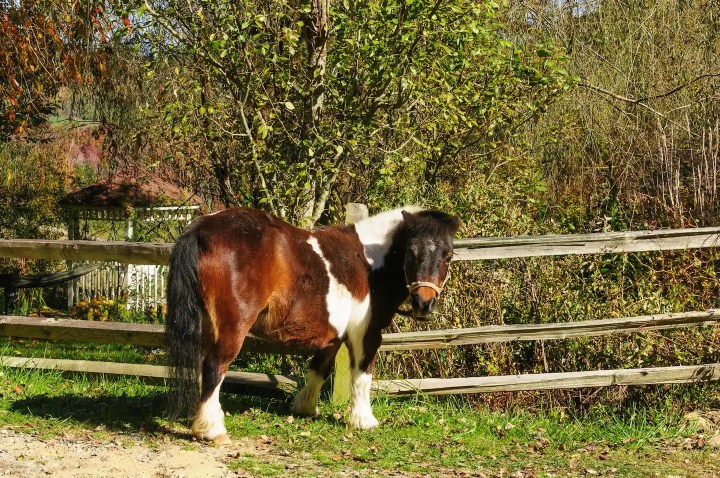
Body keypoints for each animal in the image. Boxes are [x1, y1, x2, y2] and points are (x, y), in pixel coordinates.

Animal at [165, 205, 458, 444]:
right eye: (411, 253)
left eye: (448, 256)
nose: (424, 303)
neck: (369, 262)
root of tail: (202, 228)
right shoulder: (367, 334)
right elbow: (362, 375)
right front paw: (363, 421)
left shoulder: (334, 336)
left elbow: (319, 369)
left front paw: (305, 408)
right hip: (233, 328)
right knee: (215, 367)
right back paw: (212, 429)